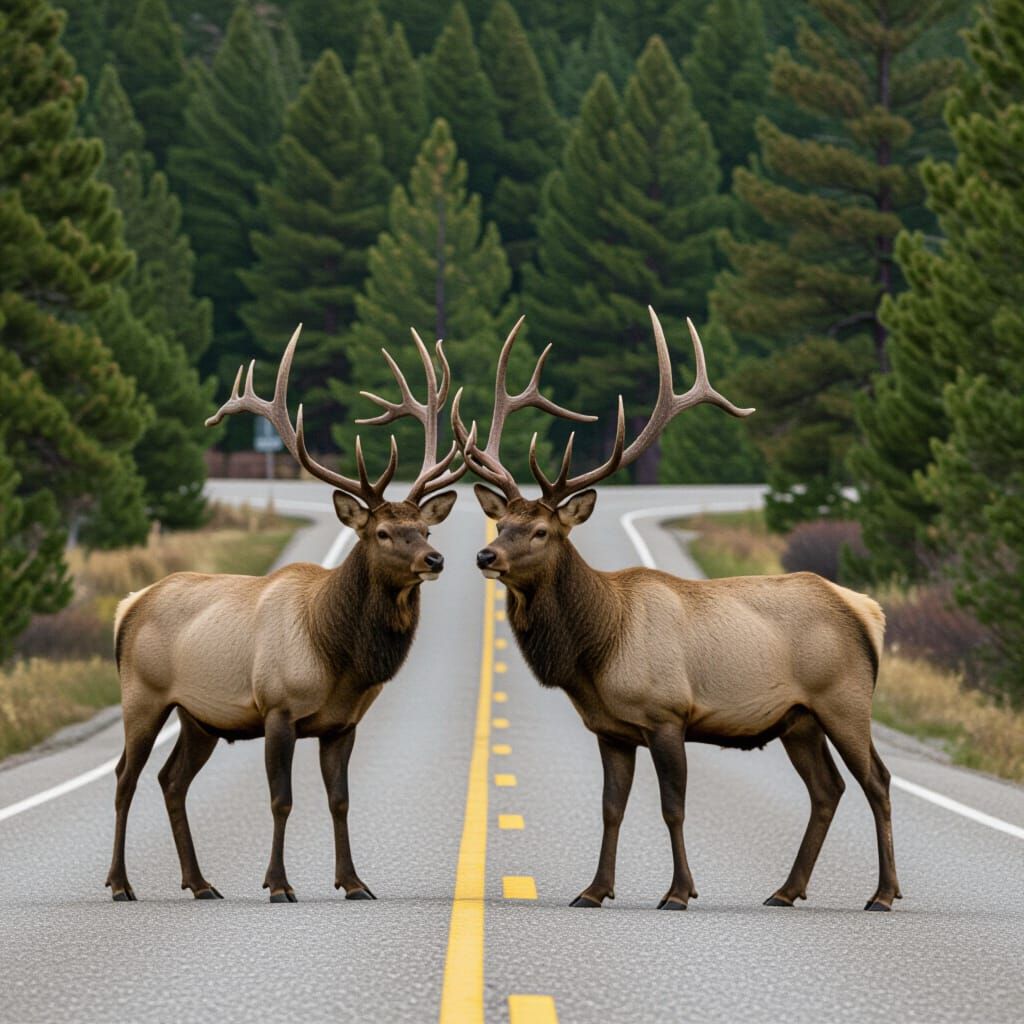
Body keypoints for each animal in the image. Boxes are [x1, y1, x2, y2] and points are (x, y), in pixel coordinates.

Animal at [107, 325, 464, 903]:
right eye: (383, 532)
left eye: (426, 528)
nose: (434, 560)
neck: (336, 655)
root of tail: (128, 606)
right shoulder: (277, 707)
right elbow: (282, 800)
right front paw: (278, 884)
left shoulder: (343, 723)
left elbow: (340, 800)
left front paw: (354, 882)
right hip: (142, 695)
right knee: (125, 777)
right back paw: (120, 884)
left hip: (199, 716)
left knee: (171, 780)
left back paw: (199, 883)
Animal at [455, 309, 900, 912]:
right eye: (501, 523)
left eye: (542, 530)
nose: (486, 555)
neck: (598, 648)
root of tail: (867, 610)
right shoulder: (612, 730)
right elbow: (610, 809)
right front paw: (593, 890)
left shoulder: (667, 713)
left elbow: (672, 808)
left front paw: (678, 891)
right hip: (799, 717)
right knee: (827, 789)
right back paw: (786, 890)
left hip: (845, 698)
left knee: (877, 781)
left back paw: (884, 893)